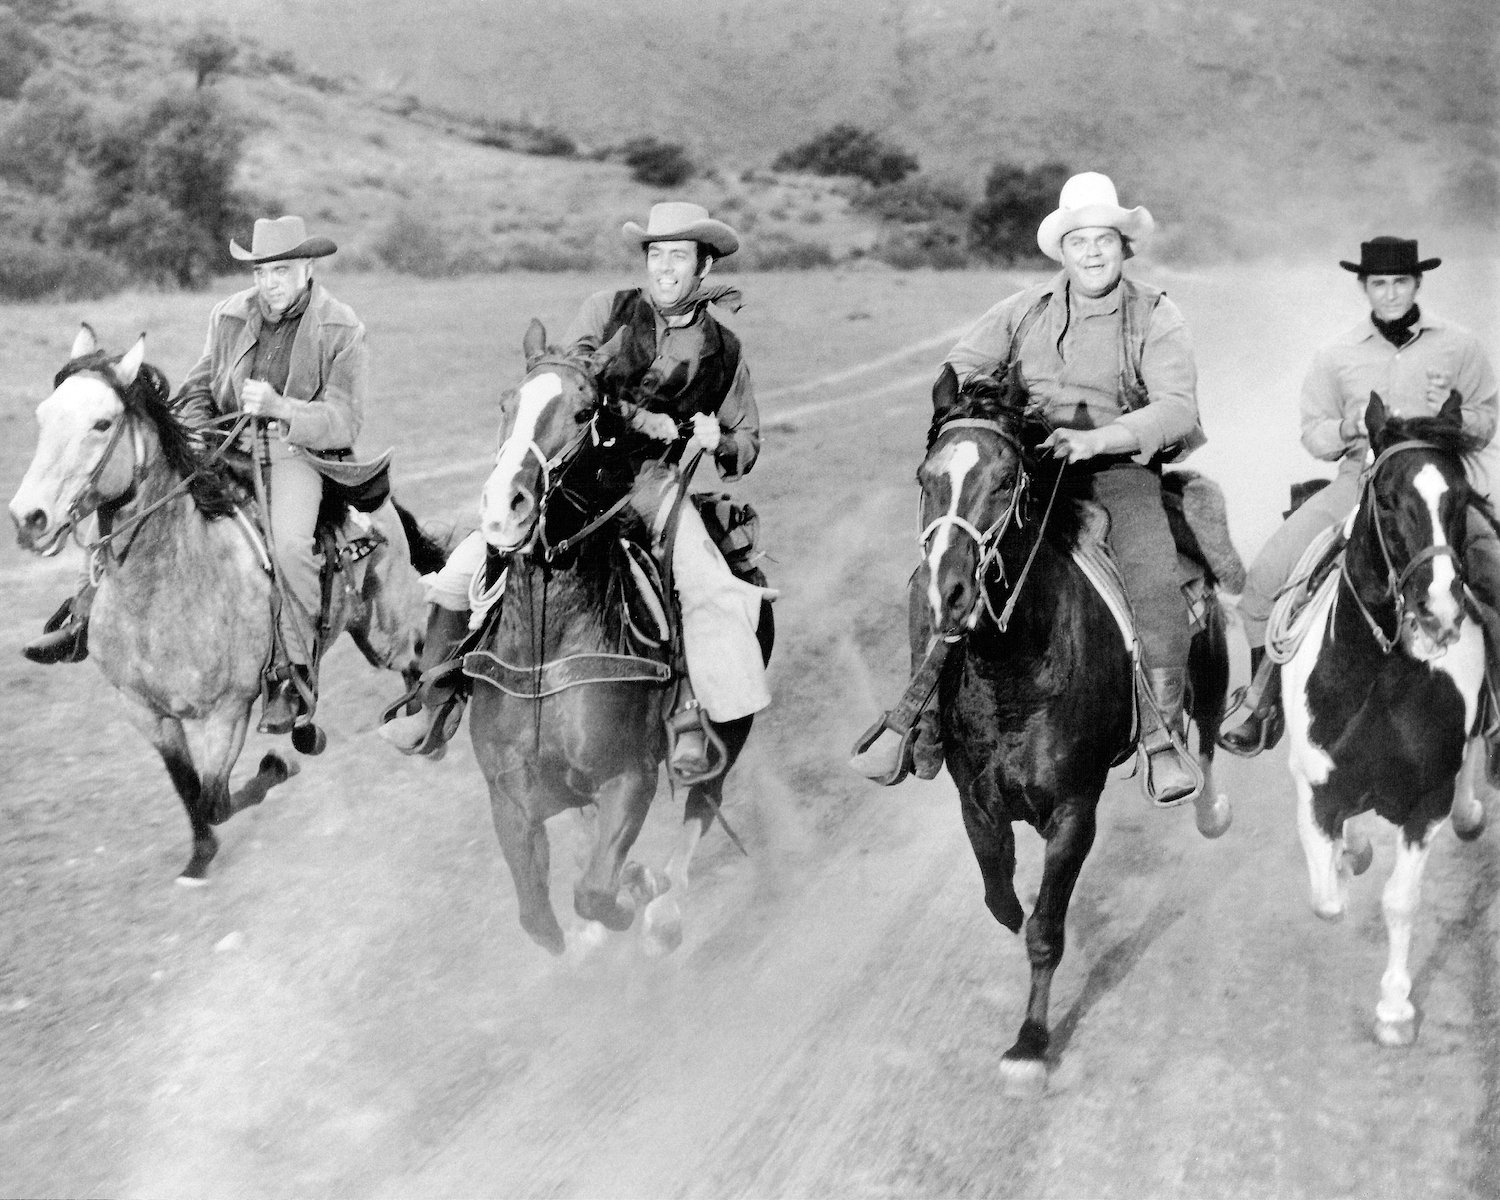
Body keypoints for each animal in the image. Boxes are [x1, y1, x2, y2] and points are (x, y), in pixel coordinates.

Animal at [10, 325, 438, 882]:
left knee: (415, 660)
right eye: (43, 416)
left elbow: (216, 798)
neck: (161, 593)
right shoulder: (145, 712)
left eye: (102, 423)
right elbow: (188, 788)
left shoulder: (227, 712)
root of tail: (373, 500)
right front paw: (199, 855)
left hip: (385, 631)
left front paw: (279, 764)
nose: (28, 517)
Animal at [912, 366, 1230, 1098]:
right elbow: (1002, 897)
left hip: (1209, 670)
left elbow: (1044, 931)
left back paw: (1206, 804)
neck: (1015, 669)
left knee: (1205, 740)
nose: (950, 593)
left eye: (1006, 479)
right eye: (926, 478)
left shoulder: (1073, 812)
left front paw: (1030, 1044)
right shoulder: (976, 805)